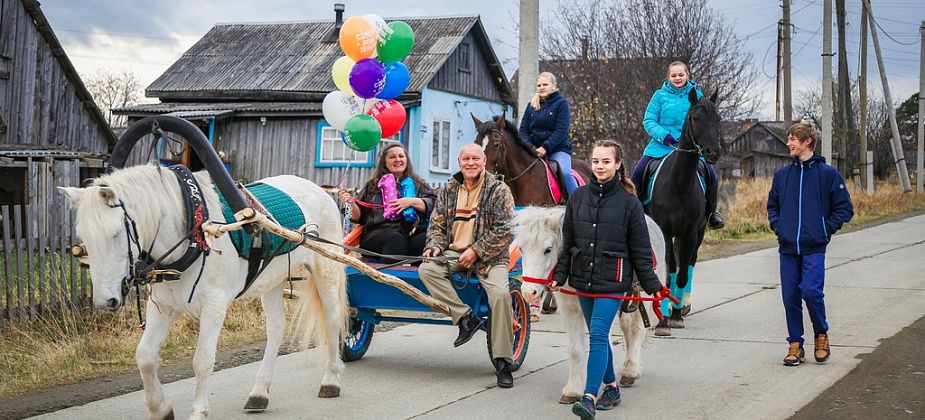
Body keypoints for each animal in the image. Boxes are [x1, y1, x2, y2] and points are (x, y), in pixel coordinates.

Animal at [58, 165, 346, 420]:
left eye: (116, 234)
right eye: (84, 236)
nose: (105, 301)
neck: (194, 233)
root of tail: (318, 189)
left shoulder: (214, 307)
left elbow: (202, 360)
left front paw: (198, 412)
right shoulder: (163, 306)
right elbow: (145, 356)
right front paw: (160, 409)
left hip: (326, 268)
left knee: (332, 319)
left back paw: (331, 380)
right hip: (272, 280)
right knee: (276, 328)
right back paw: (259, 393)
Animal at [512, 207, 664, 404]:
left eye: (548, 250)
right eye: (521, 249)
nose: (528, 292)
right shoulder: (570, 310)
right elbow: (576, 349)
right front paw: (573, 390)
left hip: (641, 298)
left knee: (636, 329)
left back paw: (631, 371)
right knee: (627, 329)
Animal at [644, 90, 720, 336]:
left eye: (718, 119)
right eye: (695, 118)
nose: (713, 153)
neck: (679, 184)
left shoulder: (690, 234)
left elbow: (683, 273)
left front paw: (676, 315)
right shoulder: (666, 232)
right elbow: (670, 271)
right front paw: (664, 321)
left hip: (699, 233)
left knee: (691, 262)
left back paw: (683, 304)